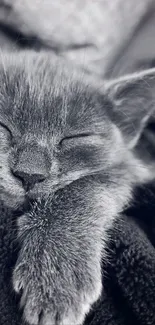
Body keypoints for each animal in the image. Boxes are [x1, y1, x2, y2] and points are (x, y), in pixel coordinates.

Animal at [0, 51, 155, 324]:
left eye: (74, 137)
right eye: (3, 126)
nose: (29, 174)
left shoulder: (129, 170)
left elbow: (84, 186)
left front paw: (56, 275)